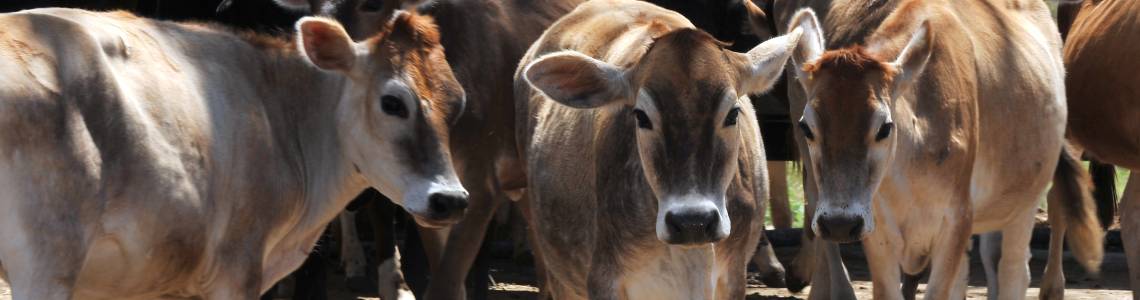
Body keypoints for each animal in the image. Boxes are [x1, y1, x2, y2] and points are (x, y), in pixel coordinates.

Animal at [788, 0, 1098, 298]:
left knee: (1012, 271)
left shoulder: (955, 221)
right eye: (806, 127)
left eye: (884, 127)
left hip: (1024, 203)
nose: (839, 223)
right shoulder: (877, 231)